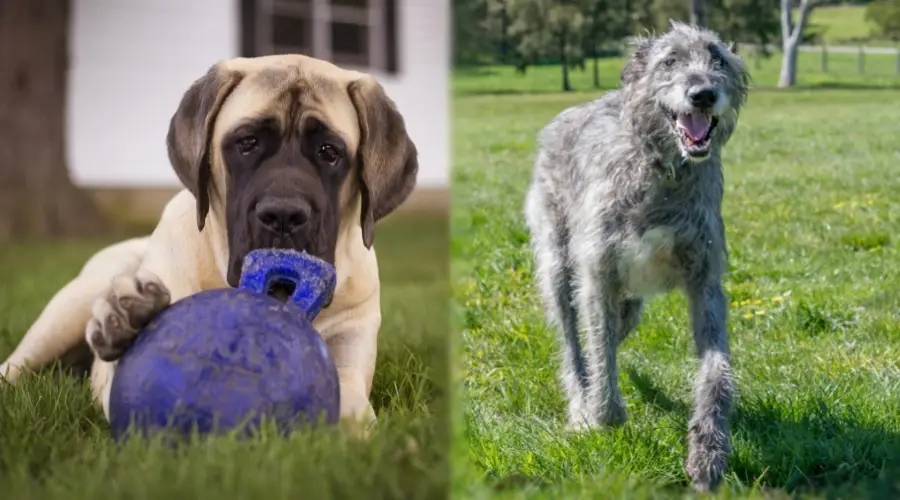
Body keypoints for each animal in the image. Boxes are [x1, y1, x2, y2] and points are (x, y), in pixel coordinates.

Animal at [524, 21, 748, 490]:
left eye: (718, 59)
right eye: (670, 61)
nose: (703, 94)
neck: (665, 169)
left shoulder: (705, 283)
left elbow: (716, 371)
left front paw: (708, 452)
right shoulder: (598, 274)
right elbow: (598, 352)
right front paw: (600, 414)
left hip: (631, 303)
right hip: (558, 263)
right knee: (573, 341)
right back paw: (580, 405)